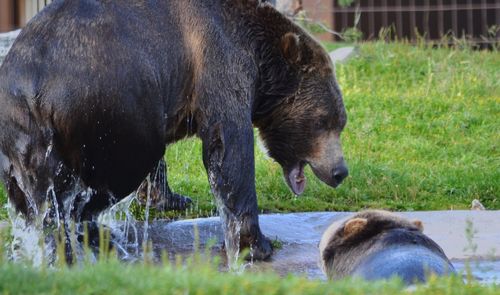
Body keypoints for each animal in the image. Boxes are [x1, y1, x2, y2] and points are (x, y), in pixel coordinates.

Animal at [0, 0, 348, 264]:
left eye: (340, 121)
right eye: (325, 120)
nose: (340, 171)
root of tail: (34, 90)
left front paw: (173, 198)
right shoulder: (218, 61)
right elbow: (229, 150)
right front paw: (255, 245)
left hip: (21, 140)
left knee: (36, 198)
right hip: (108, 111)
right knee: (113, 173)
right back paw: (87, 233)